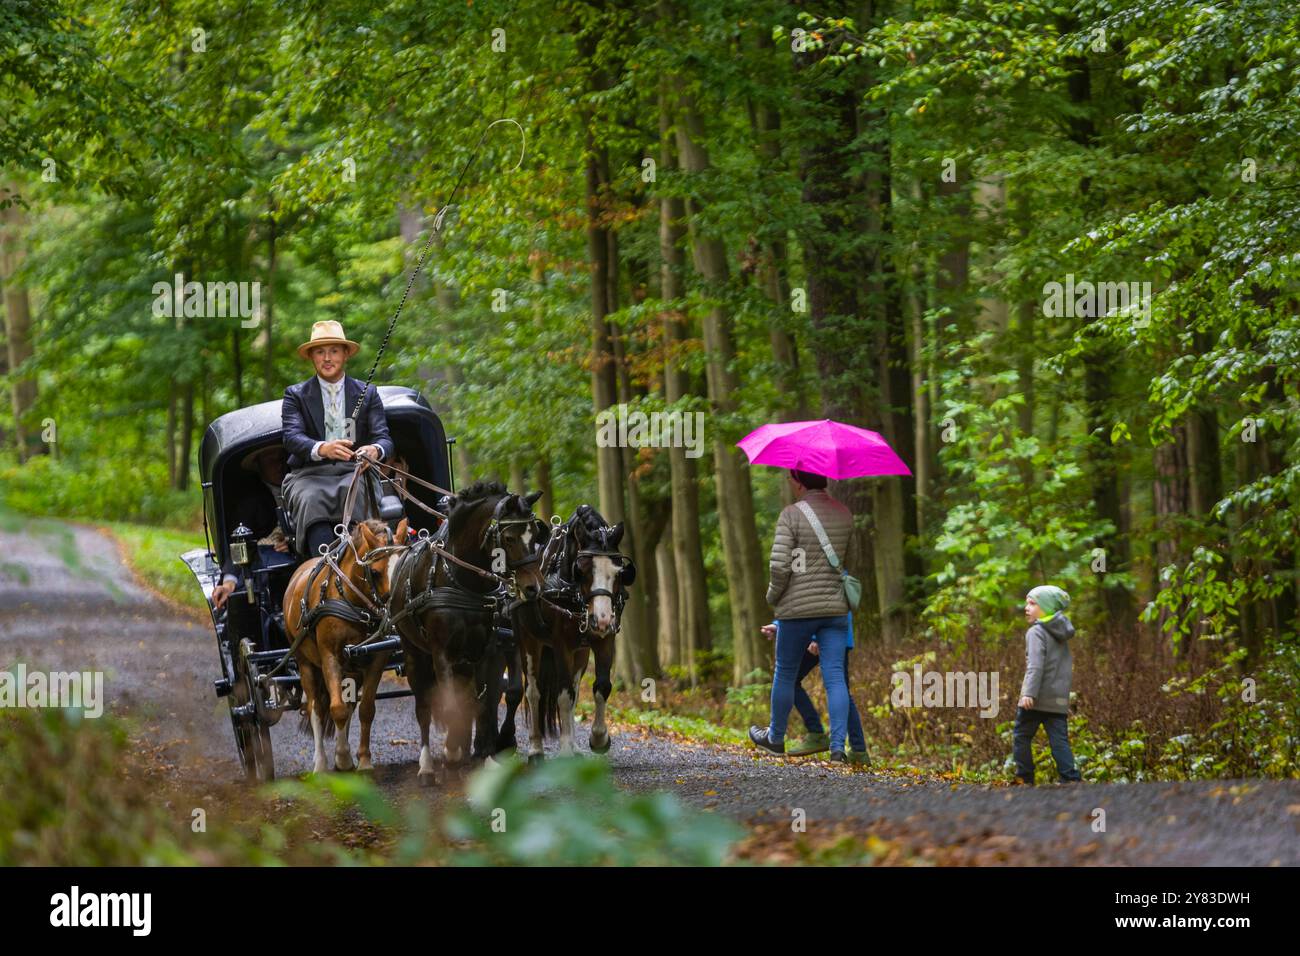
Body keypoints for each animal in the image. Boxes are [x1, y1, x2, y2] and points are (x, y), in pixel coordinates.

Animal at [283, 520, 405, 775]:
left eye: (402, 565)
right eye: (375, 572)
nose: (394, 610)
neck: (351, 601)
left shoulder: (377, 658)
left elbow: (365, 709)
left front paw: (363, 760)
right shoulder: (330, 657)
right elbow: (335, 709)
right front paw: (342, 757)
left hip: (352, 668)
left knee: (348, 705)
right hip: (305, 663)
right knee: (316, 708)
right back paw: (321, 763)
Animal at [384, 478, 548, 785]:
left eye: (535, 536)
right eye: (509, 539)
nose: (533, 588)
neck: (464, 581)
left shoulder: (488, 649)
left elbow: (485, 702)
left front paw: (487, 756)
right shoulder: (441, 653)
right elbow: (449, 705)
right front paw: (451, 752)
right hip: (414, 653)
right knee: (423, 705)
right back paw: (427, 765)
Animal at [517, 504, 639, 759]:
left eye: (619, 573)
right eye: (581, 570)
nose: (601, 619)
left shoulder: (605, 640)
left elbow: (601, 687)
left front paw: (599, 739)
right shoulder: (561, 644)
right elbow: (563, 695)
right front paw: (564, 751)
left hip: (580, 652)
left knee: (573, 690)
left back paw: (574, 746)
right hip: (529, 640)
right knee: (533, 691)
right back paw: (535, 749)